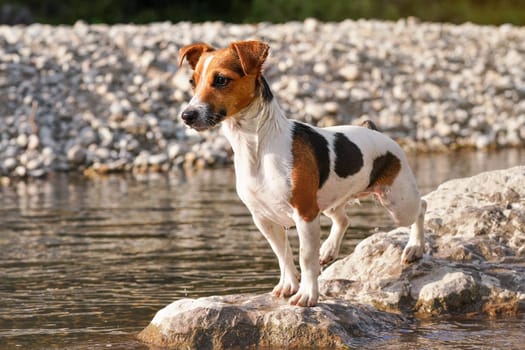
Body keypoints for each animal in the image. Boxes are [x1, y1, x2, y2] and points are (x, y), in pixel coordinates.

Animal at [178, 39, 424, 304]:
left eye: (221, 80)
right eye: (192, 81)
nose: (186, 115)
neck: (257, 146)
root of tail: (377, 132)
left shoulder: (305, 213)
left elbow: (305, 257)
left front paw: (307, 294)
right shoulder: (264, 218)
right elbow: (282, 255)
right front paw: (288, 285)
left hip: (398, 203)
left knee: (422, 208)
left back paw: (415, 247)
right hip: (330, 202)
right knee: (343, 219)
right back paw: (328, 249)